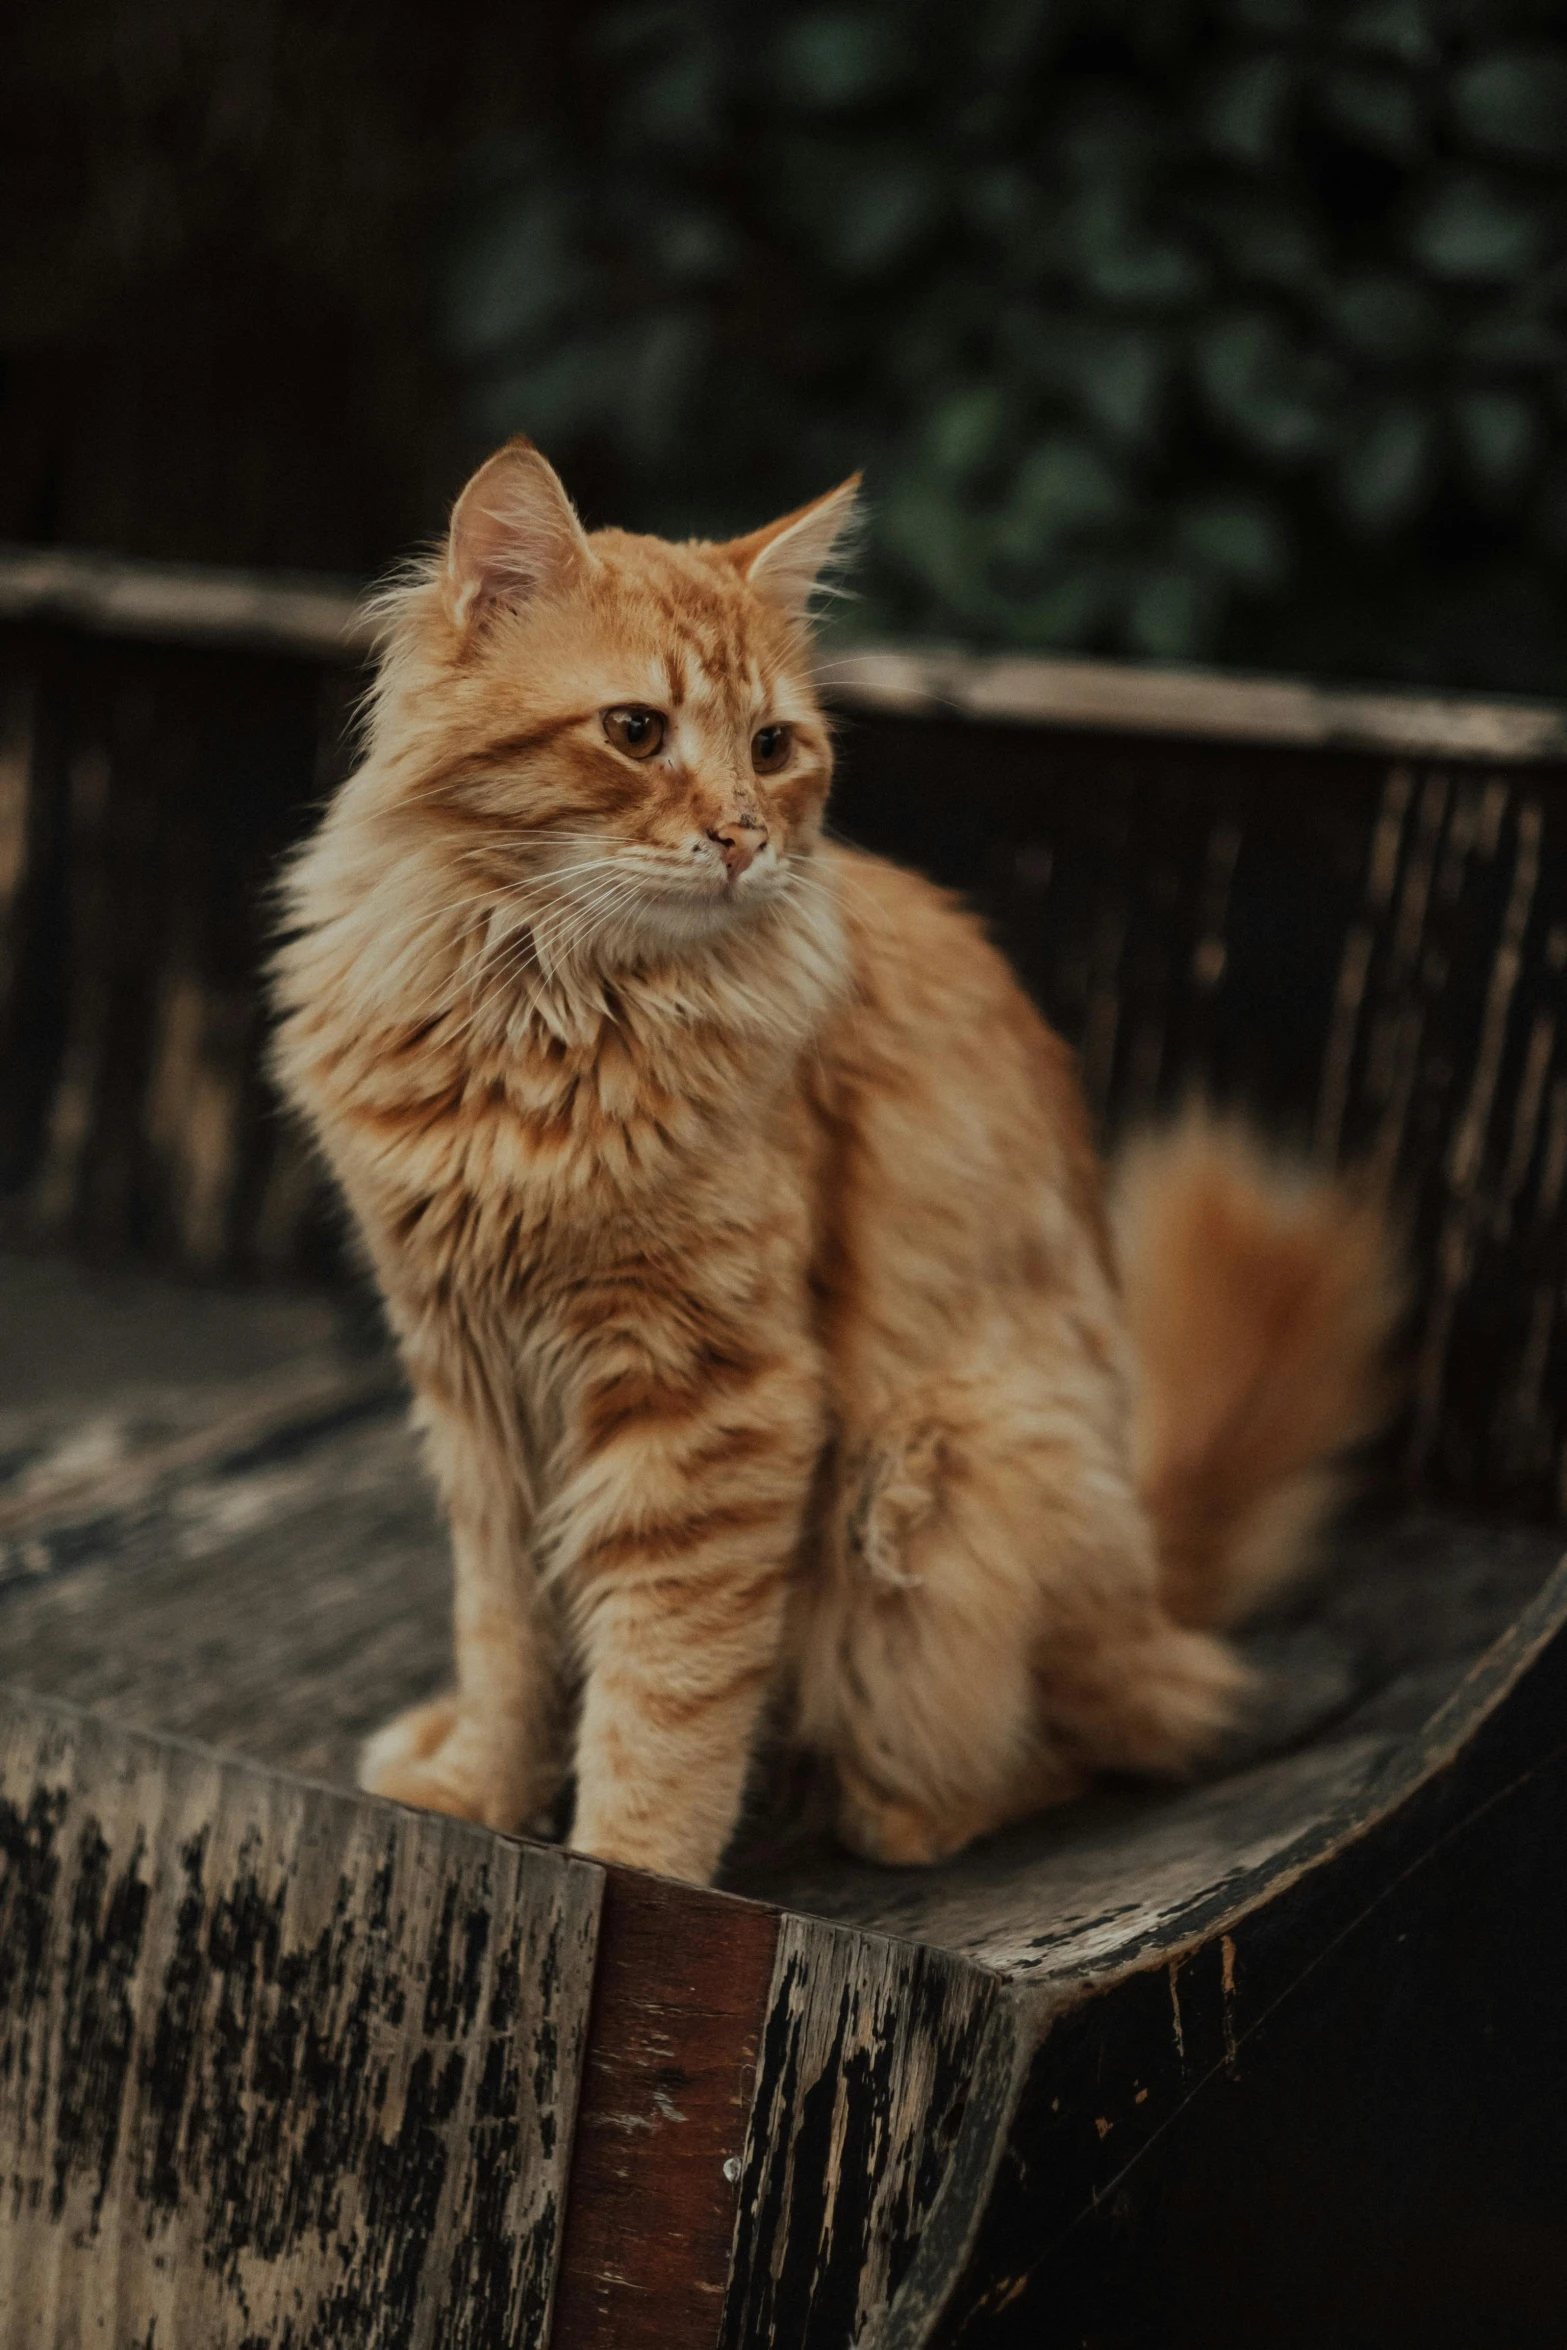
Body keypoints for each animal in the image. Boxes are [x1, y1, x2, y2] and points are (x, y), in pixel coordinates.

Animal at [272, 432, 1400, 1879]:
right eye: (634, 731)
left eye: (772, 746)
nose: (743, 836)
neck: (538, 1008)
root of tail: (1152, 1586)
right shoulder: (471, 1386)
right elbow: (506, 1631)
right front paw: (480, 1782)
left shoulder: (712, 1395)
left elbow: (665, 1692)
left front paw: (625, 1869)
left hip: (940, 1481)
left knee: (1065, 1747)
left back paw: (888, 1809)